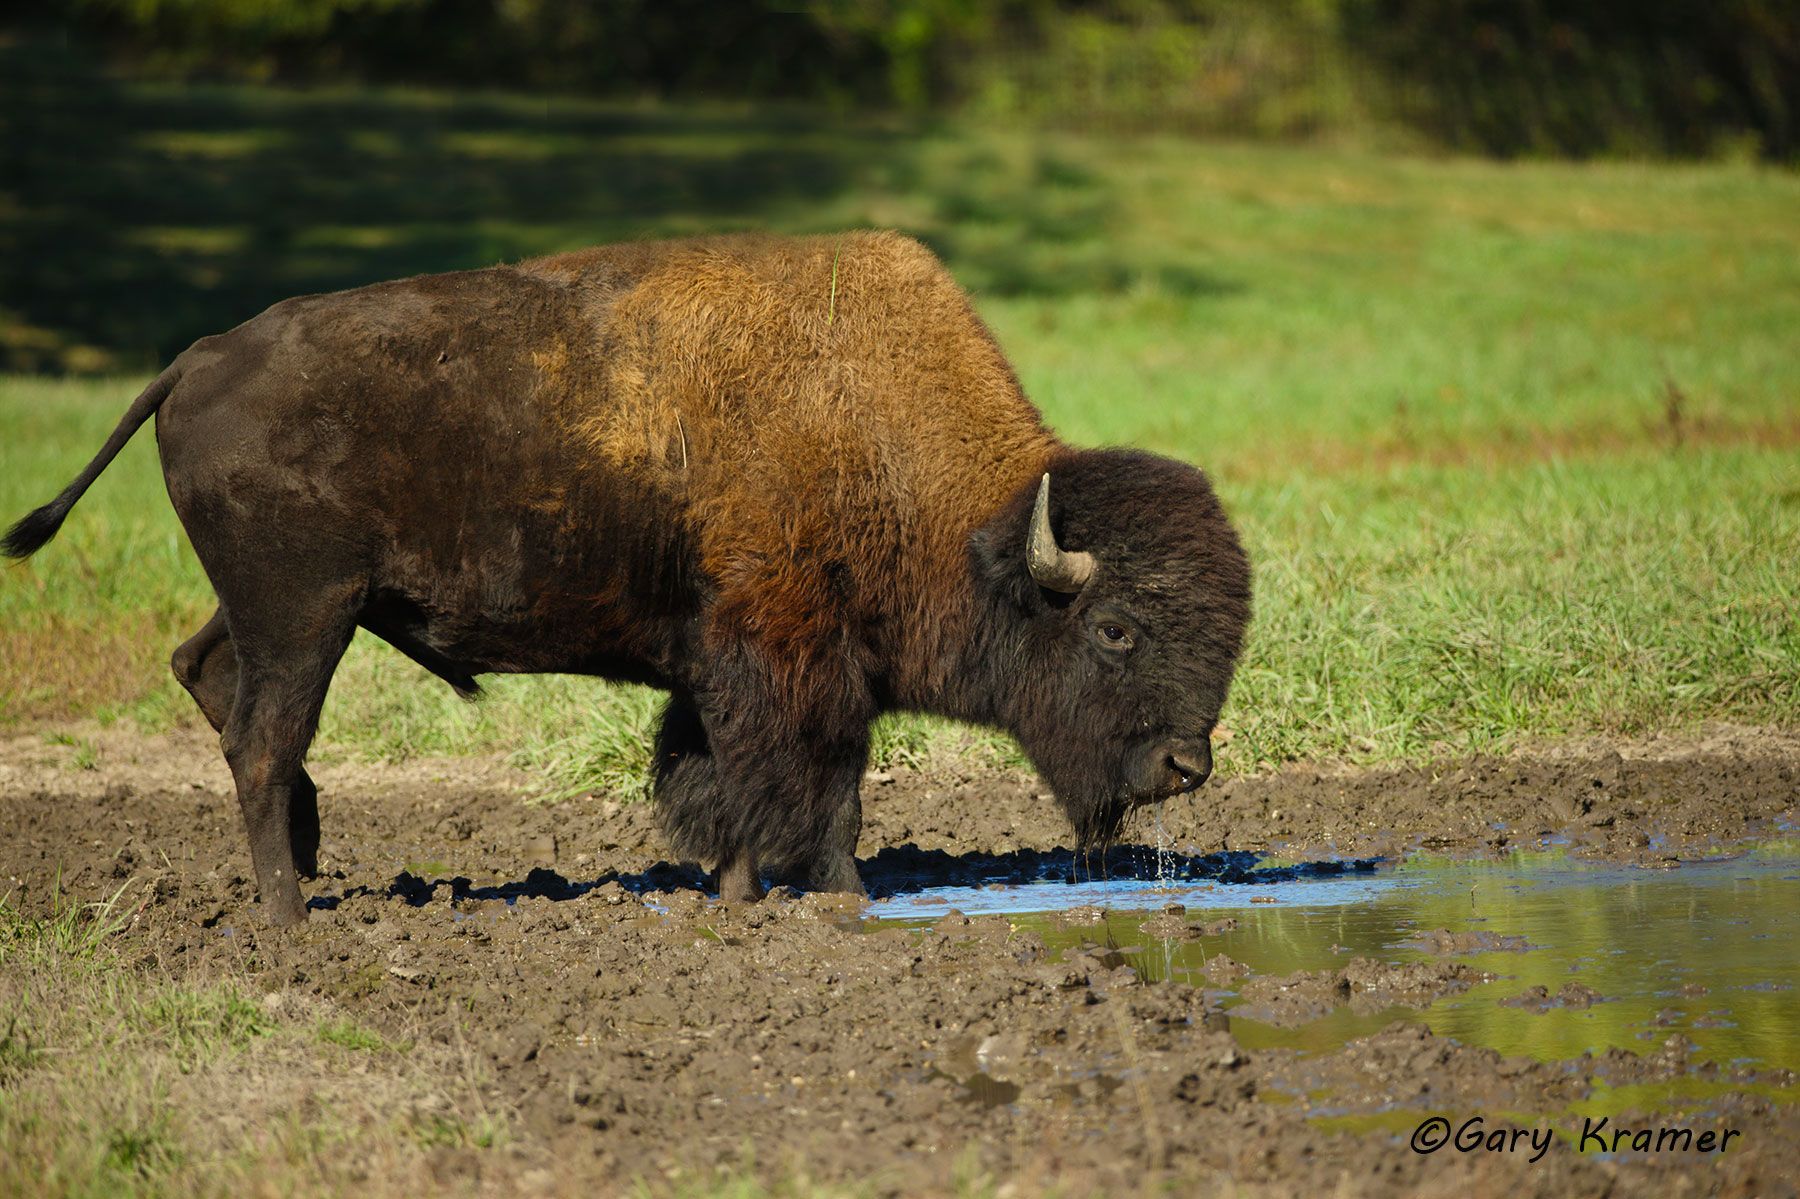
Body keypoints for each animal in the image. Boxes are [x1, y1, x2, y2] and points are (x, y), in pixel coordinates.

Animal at [5, 231, 1251, 925]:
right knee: (263, 738)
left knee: (205, 675)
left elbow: (722, 784)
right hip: (306, 614)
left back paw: (306, 865)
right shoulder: (792, 663)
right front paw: (840, 896)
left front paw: (737, 892)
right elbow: (821, 787)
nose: (1186, 764)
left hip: (281, 611)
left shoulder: (721, 673)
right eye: (1116, 629)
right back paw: (287, 917)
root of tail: (194, 360)